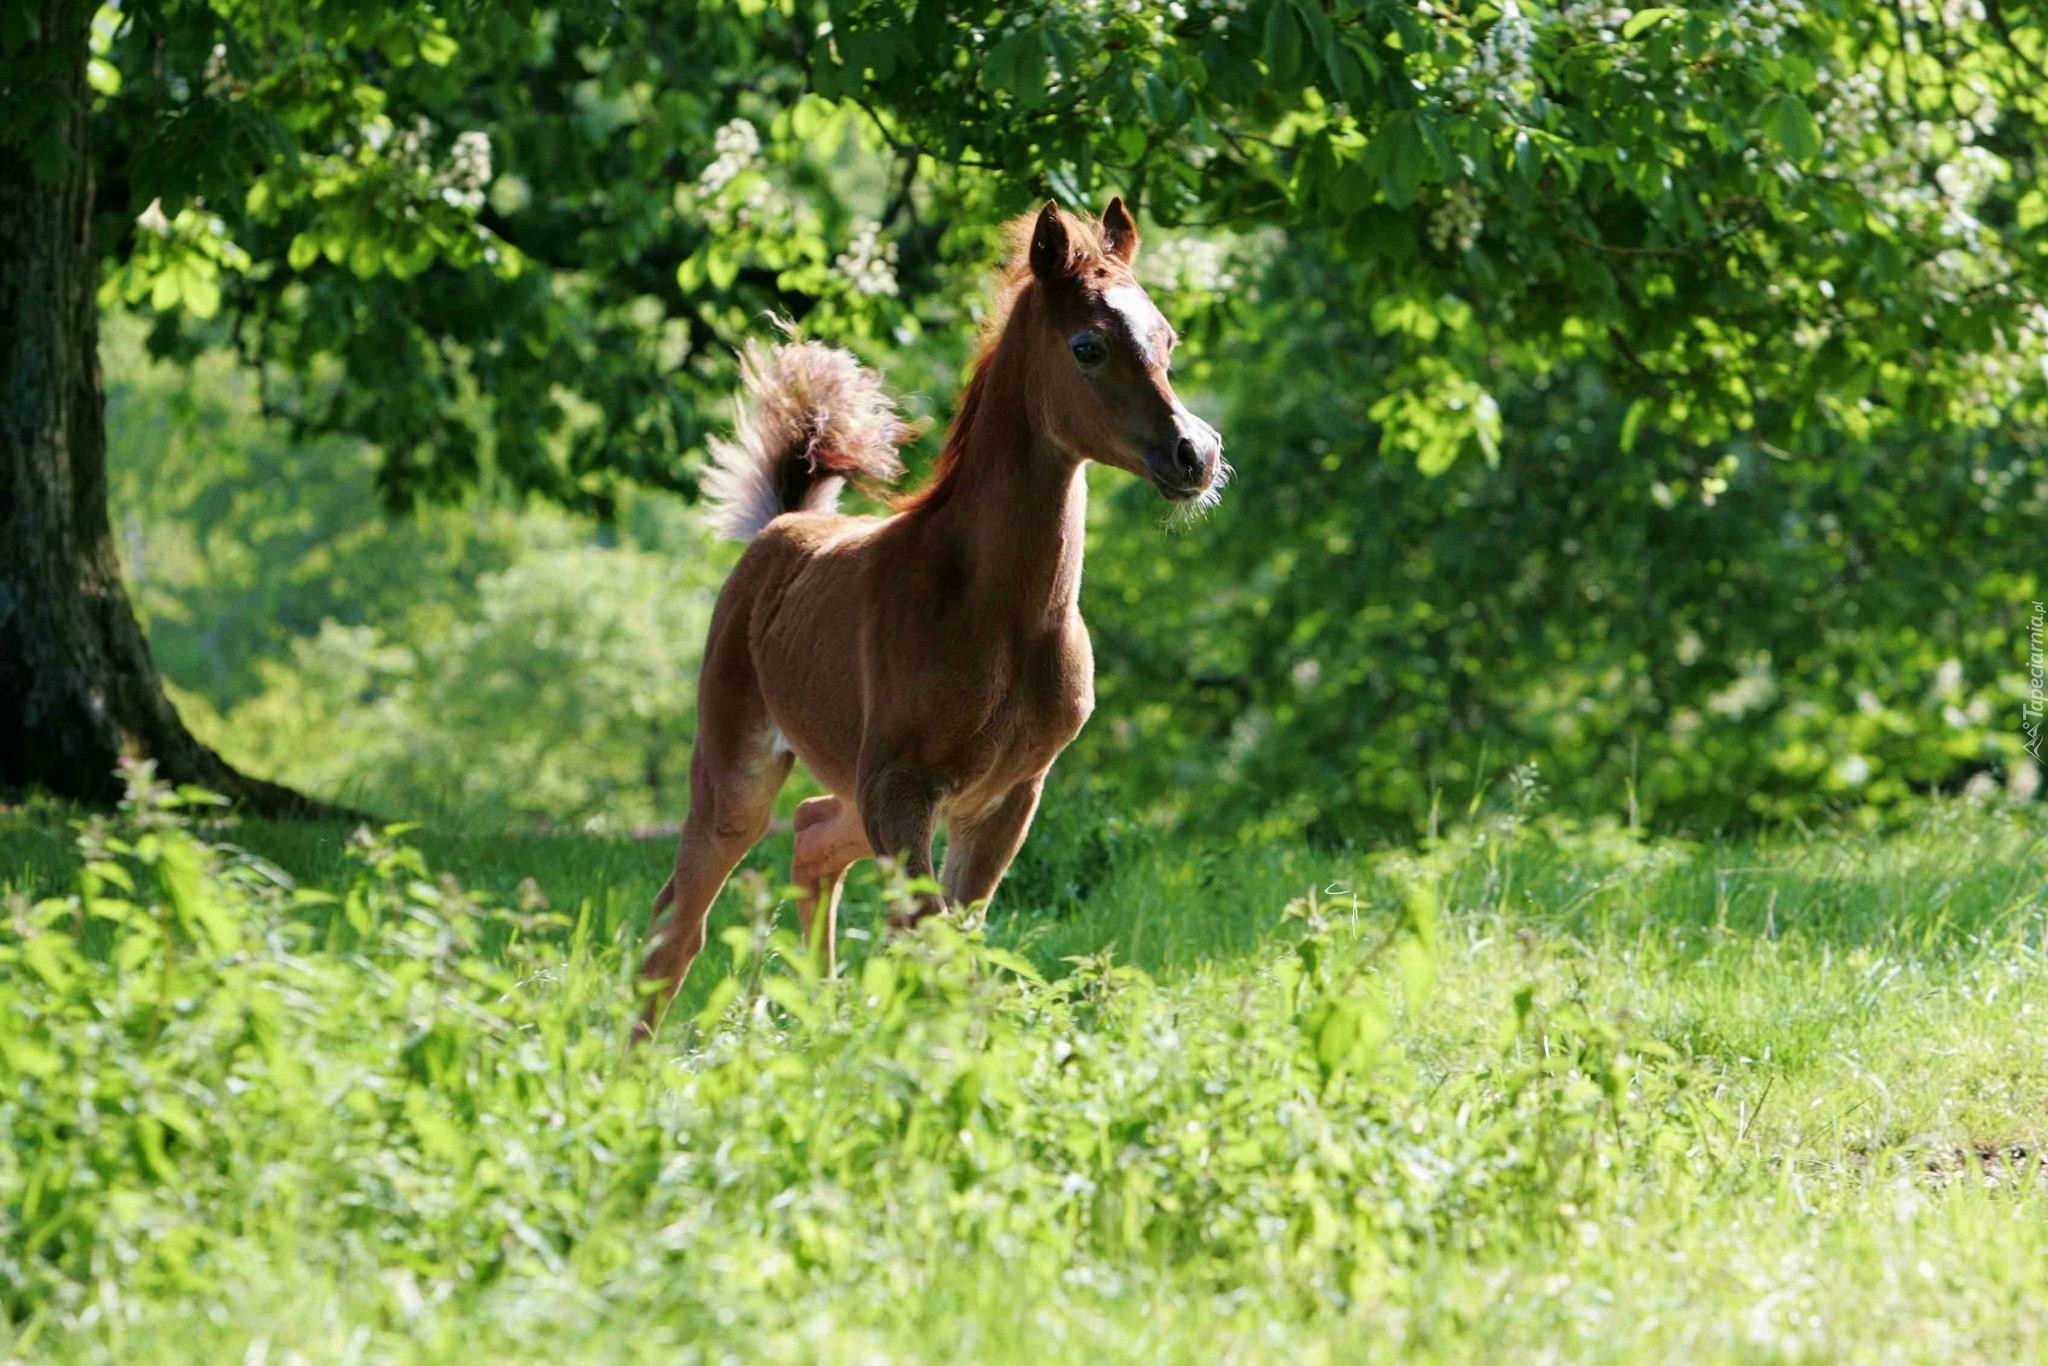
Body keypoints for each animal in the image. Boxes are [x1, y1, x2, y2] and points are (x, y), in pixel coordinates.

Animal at [630, 200, 1220, 1036]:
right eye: (1088, 346)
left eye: (1168, 338)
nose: (1194, 455)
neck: (1004, 618)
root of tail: (779, 527)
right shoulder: (900, 787)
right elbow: (931, 943)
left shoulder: (1006, 795)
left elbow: (955, 941)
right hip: (743, 768)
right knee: (679, 917)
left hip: (856, 787)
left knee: (811, 833)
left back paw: (822, 1024)